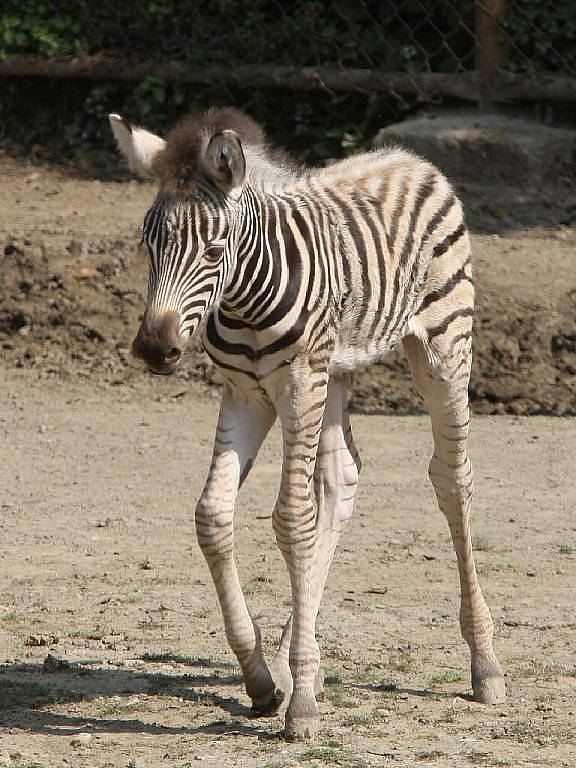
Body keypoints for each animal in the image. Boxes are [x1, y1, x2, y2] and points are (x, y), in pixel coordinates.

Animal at [108, 106, 504, 736]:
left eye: (214, 250)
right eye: (149, 245)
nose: (153, 349)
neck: (242, 299)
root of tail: (408, 157)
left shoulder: (296, 383)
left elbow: (292, 519)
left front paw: (301, 707)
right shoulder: (245, 394)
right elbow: (213, 515)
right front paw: (264, 678)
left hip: (443, 347)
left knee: (452, 479)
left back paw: (484, 664)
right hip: (333, 375)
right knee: (342, 478)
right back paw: (297, 652)